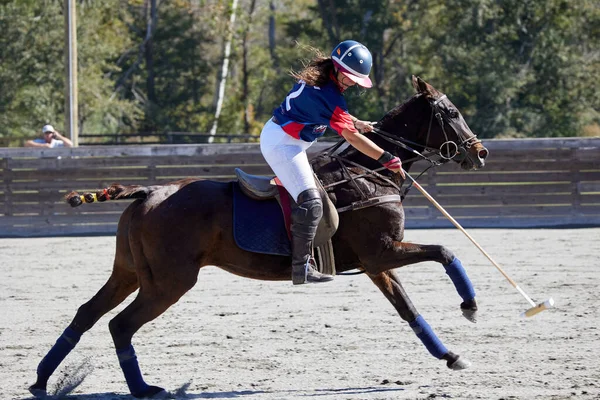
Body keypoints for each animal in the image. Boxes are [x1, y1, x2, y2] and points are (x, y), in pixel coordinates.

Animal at [29, 76, 488, 398]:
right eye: (450, 112)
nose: (479, 152)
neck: (367, 174)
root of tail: (147, 192)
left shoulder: (377, 264)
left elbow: (408, 308)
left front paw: (451, 356)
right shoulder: (382, 253)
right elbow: (445, 251)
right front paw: (470, 306)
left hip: (128, 272)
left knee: (87, 313)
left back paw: (40, 381)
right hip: (169, 281)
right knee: (120, 325)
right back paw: (143, 389)